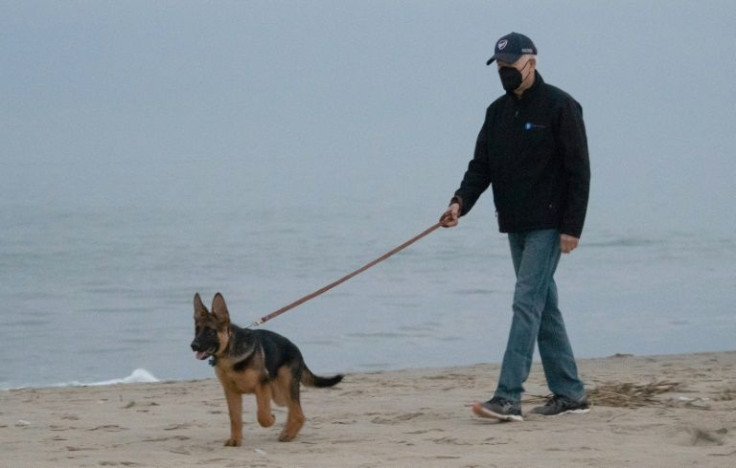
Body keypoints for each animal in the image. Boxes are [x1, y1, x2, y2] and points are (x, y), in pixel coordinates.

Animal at [191, 292, 344, 446]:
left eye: (210, 332)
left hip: (283, 387)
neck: (230, 352)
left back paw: (288, 434)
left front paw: (271, 419)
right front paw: (235, 440)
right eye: (197, 330)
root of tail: (297, 350)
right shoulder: (232, 392)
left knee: (299, 413)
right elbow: (235, 418)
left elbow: (263, 415)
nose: (193, 345)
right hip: (279, 394)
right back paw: (289, 431)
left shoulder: (262, 386)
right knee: (294, 410)